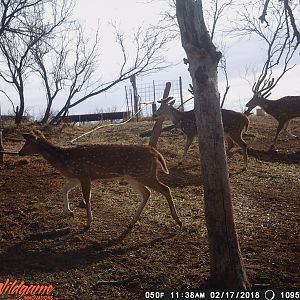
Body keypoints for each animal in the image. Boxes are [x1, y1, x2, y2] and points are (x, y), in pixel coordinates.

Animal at [19, 131, 183, 237]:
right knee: (147, 192)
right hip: (133, 176)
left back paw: (178, 220)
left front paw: (88, 222)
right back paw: (131, 222)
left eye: (27, 142)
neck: (64, 159)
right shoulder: (76, 176)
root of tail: (156, 153)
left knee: (165, 188)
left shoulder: (84, 175)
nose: (20, 153)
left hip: (144, 174)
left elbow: (87, 196)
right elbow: (64, 189)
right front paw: (68, 211)